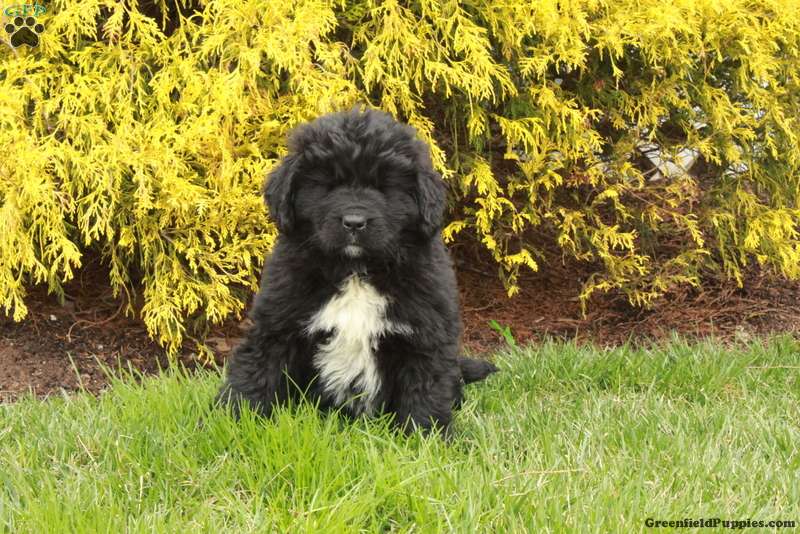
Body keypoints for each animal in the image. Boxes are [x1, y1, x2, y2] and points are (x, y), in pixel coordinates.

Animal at [217, 108, 497, 434]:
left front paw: (426, 435)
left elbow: (425, 388)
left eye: (384, 187)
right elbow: (256, 372)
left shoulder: (425, 333)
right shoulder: (277, 322)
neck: (355, 270)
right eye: (328, 185)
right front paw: (231, 422)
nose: (354, 222)